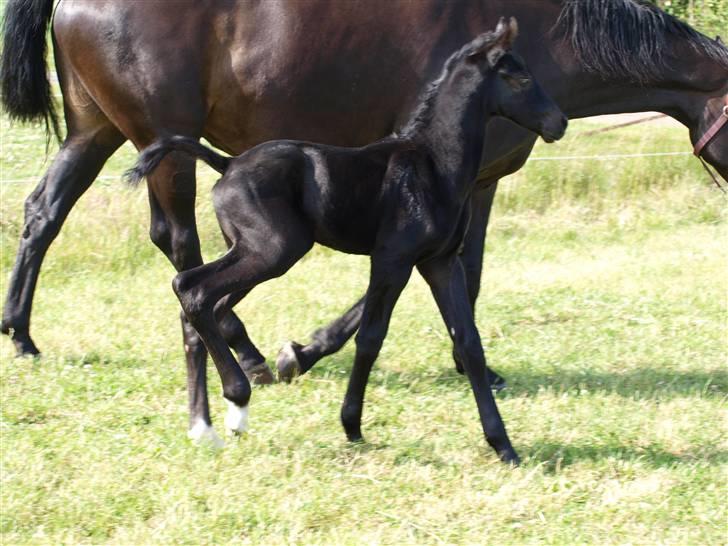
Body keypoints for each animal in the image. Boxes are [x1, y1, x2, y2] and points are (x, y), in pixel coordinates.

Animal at [128, 17, 564, 460]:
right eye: (522, 77)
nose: (558, 122)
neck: (433, 165)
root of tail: (227, 164)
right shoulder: (392, 259)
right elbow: (370, 337)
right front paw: (351, 424)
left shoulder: (440, 263)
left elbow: (470, 342)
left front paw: (503, 445)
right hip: (273, 252)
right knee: (192, 288)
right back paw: (237, 400)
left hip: (253, 252)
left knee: (196, 306)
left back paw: (205, 425)